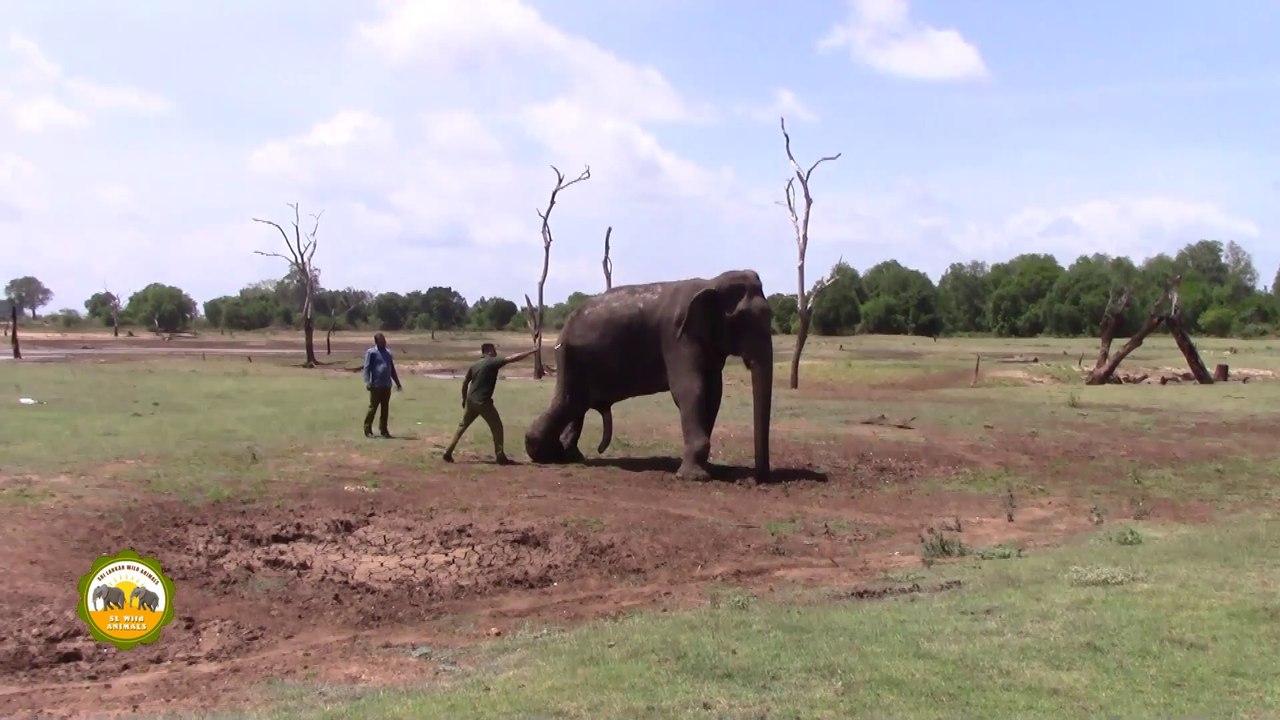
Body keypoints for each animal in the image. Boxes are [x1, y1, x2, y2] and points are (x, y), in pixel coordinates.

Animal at [525, 269, 773, 482]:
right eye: (742, 320)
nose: (753, 479)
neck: (712, 282)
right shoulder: (677, 338)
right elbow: (690, 389)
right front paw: (695, 478)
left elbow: (714, 394)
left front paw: (703, 470)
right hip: (570, 359)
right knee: (568, 402)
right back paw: (545, 454)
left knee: (575, 406)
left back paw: (568, 456)